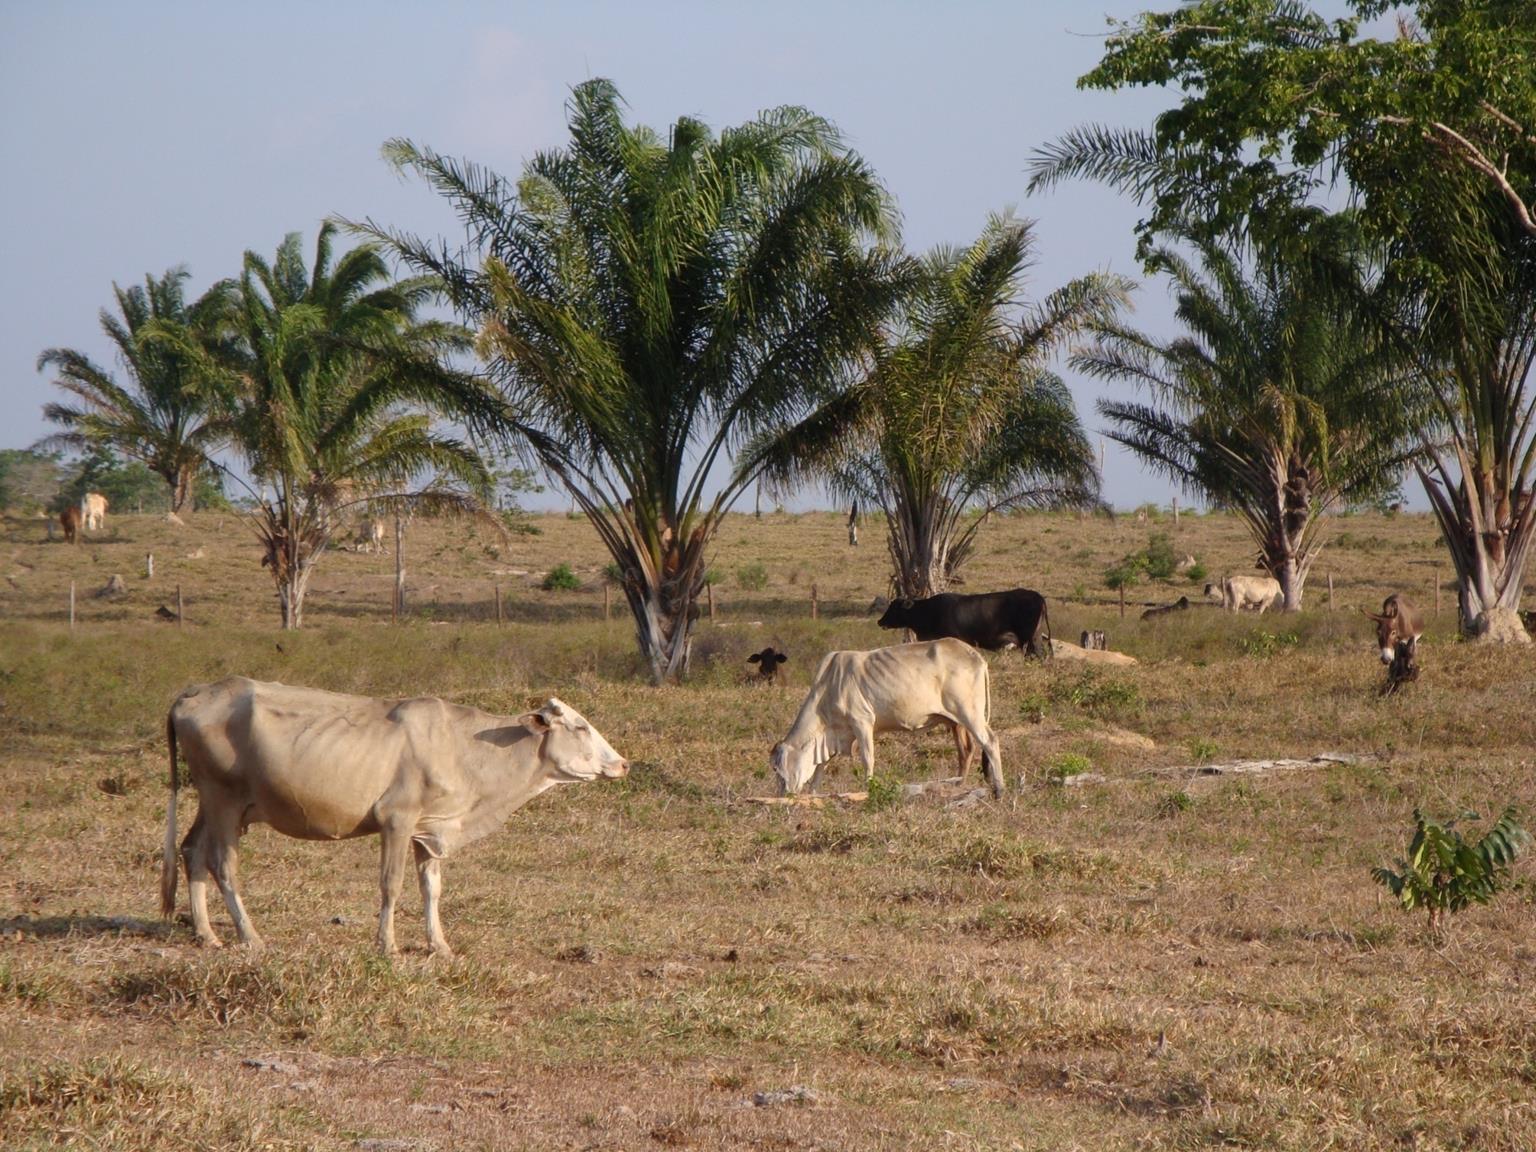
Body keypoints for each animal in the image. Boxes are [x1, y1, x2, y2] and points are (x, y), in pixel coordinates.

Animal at [163, 675, 629, 958]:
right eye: (581, 727)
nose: (622, 763)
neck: (466, 749)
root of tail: (198, 691)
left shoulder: (429, 831)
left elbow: (431, 890)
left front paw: (439, 945)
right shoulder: (397, 820)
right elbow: (392, 885)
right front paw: (387, 945)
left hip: (214, 802)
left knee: (192, 851)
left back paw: (206, 933)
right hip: (223, 800)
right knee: (222, 865)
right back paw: (250, 936)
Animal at [768, 635, 1007, 798]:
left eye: (777, 769)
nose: (783, 795)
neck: (827, 687)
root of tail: (976, 656)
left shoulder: (862, 722)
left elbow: (867, 758)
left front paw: (868, 789)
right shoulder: (832, 735)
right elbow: (820, 768)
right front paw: (814, 794)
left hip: (970, 713)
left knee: (990, 741)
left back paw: (999, 789)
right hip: (957, 721)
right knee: (966, 750)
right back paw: (960, 785)